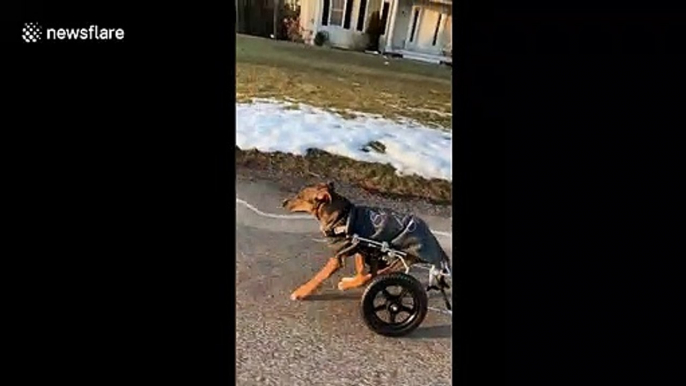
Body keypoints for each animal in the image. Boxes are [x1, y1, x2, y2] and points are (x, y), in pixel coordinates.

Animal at [280, 182, 452, 302]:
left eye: (300, 197)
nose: (283, 202)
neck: (342, 215)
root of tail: (438, 250)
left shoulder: (338, 257)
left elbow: (318, 277)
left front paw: (300, 292)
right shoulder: (360, 248)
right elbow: (361, 269)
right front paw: (353, 280)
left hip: (398, 258)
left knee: (373, 277)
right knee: (369, 275)